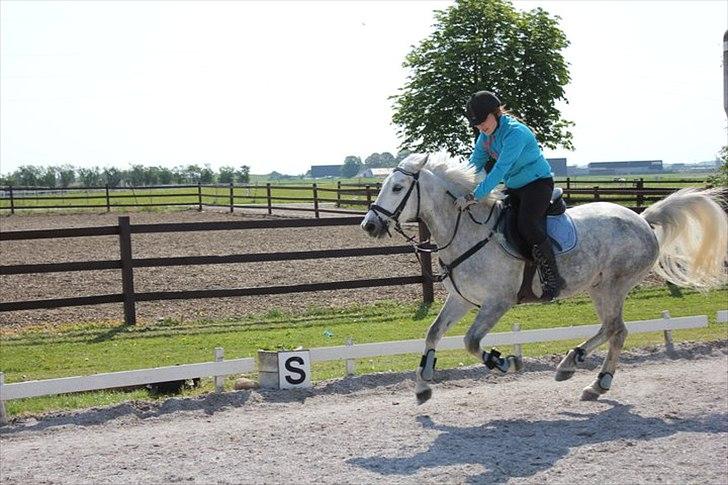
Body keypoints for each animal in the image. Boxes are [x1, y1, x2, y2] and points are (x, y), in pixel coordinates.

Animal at [360, 153, 728, 402]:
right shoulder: (462, 299)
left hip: (613, 286)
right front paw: (423, 384)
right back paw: (575, 367)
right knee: (612, 329)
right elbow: (433, 333)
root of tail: (643, 219)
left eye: (397, 187)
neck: (465, 230)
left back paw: (593, 379)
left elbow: (471, 342)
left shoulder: (497, 303)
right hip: (599, 287)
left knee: (616, 330)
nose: (369, 225)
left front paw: (503, 362)